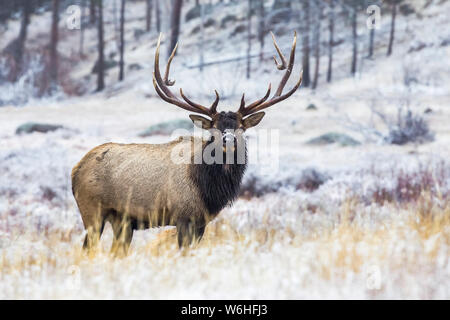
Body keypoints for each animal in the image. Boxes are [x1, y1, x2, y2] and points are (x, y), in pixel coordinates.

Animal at [71, 31, 302, 254]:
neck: (208, 191)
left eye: (240, 127)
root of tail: (75, 170)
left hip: (122, 220)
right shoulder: (183, 216)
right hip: (92, 211)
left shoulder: (201, 222)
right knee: (87, 250)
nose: (228, 140)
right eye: (214, 128)